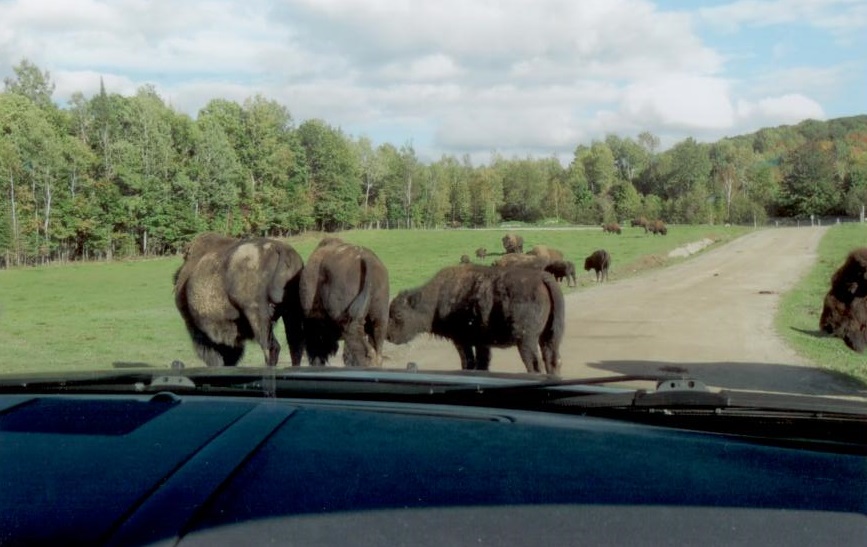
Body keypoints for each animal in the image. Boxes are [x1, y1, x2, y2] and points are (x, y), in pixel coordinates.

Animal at [388, 266, 568, 376]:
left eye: (398, 314)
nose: (389, 336)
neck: (437, 297)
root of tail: (542, 278)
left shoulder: (461, 340)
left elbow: (468, 361)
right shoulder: (482, 343)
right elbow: (482, 362)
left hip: (526, 340)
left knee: (534, 363)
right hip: (550, 337)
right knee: (552, 360)